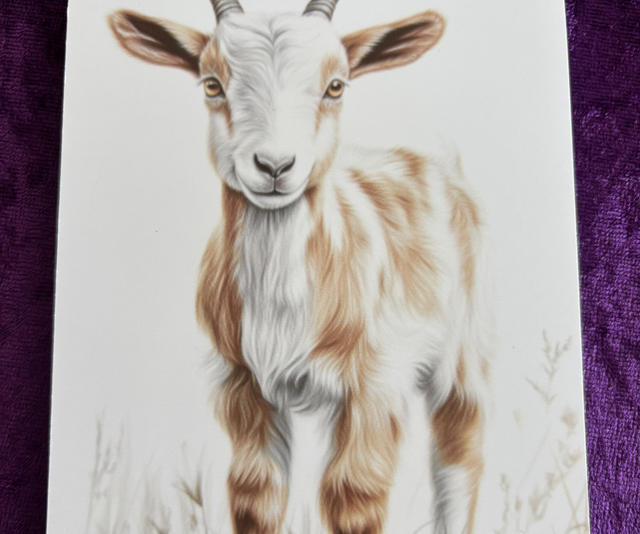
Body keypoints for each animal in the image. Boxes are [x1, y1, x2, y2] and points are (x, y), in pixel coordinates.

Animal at [109, 1, 492, 533]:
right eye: (212, 84)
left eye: (336, 85)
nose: (274, 166)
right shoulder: (242, 383)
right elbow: (255, 493)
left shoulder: (374, 383)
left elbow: (354, 496)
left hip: (461, 346)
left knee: (458, 447)